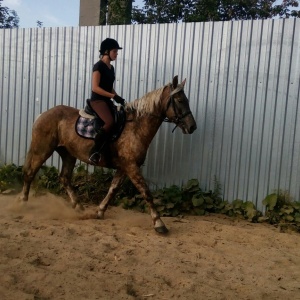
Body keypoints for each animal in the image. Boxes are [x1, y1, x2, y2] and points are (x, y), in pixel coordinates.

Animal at [20, 75, 197, 234]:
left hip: (68, 154)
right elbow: (145, 191)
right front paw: (159, 223)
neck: (136, 127)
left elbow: (113, 189)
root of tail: (43, 114)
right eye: (180, 100)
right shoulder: (131, 166)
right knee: (30, 173)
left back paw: (79, 207)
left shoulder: (124, 167)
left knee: (64, 178)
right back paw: (23, 203)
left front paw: (100, 211)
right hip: (42, 149)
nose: (192, 127)